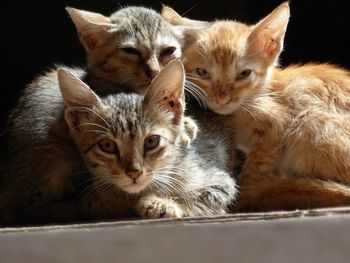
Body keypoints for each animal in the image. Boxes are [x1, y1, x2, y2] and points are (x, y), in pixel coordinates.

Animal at [163, 2, 350, 212]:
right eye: (202, 72)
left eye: (244, 74)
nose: (222, 99)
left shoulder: (276, 124)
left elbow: (254, 171)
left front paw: (243, 194)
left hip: (308, 120)